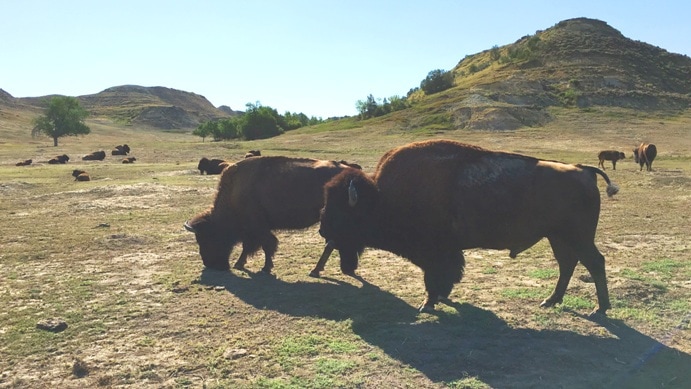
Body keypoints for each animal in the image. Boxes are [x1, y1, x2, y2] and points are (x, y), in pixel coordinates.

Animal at [185, 155, 362, 272]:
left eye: (205, 238)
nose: (208, 263)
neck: (234, 192)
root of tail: (350, 170)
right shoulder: (254, 229)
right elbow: (252, 246)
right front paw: (241, 263)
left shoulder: (257, 227)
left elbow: (265, 244)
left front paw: (265, 267)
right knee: (332, 243)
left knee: (332, 242)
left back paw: (318, 269)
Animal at [318, 139, 616, 316]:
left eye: (343, 210)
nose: (322, 230)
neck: (383, 197)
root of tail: (584, 170)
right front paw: (441, 298)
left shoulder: (435, 253)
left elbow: (434, 277)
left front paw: (427, 304)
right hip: (558, 237)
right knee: (568, 264)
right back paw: (551, 301)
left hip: (577, 237)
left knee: (594, 262)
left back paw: (599, 310)